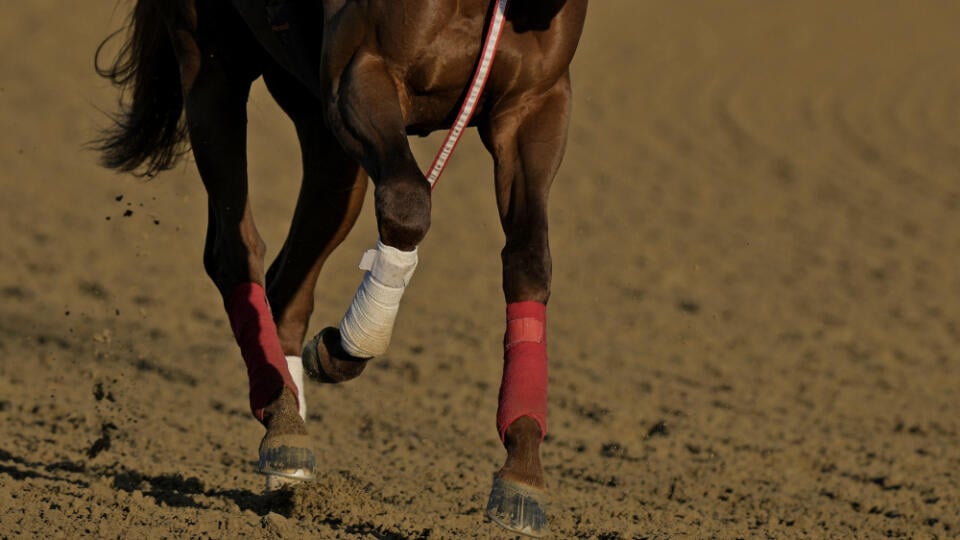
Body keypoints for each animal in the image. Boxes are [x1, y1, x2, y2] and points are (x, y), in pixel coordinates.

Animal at [97, 0, 588, 536]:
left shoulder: (535, 103)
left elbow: (529, 259)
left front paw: (522, 470)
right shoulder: (362, 71)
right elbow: (409, 203)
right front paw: (342, 345)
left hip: (324, 137)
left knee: (287, 284)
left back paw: (287, 430)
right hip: (210, 61)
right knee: (234, 249)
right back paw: (286, 425)